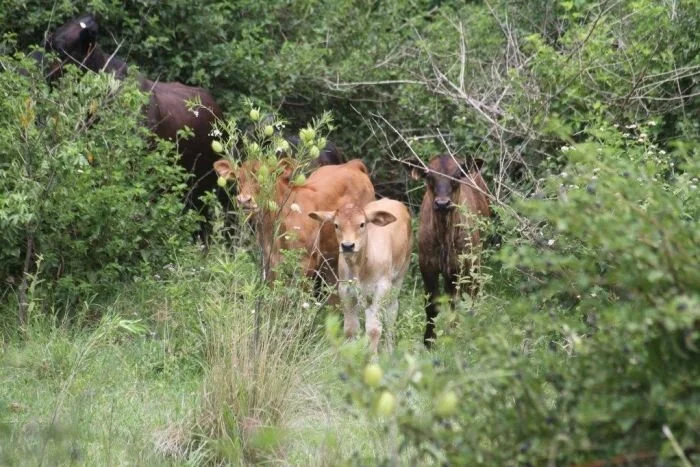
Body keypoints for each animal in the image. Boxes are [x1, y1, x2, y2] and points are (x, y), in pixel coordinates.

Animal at [214, 158, 375, 290]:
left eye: (265, 177)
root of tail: (352, 164)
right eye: (238, 178)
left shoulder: (305, 263)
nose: (244, 200)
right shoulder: (270, 262)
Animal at [309, 198, 412, 352]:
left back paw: (389, 350)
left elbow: (374, 329)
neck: (361, 268)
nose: (347, 246)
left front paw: (373, 356)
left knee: (391, 312)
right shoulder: (345, 290)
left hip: (399, 276)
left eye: (362, 224)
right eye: (336, 225)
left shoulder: (382, 288)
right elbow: (351, 328)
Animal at [411, 154, 491, 347]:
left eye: (457, 175)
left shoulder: (461, 265)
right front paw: (429, 341)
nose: (442, 203)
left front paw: (453, 335)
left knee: (472, 293)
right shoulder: (427, 265)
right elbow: (432, 303)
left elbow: (456, 301)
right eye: (429, 176)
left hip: (474, 261)